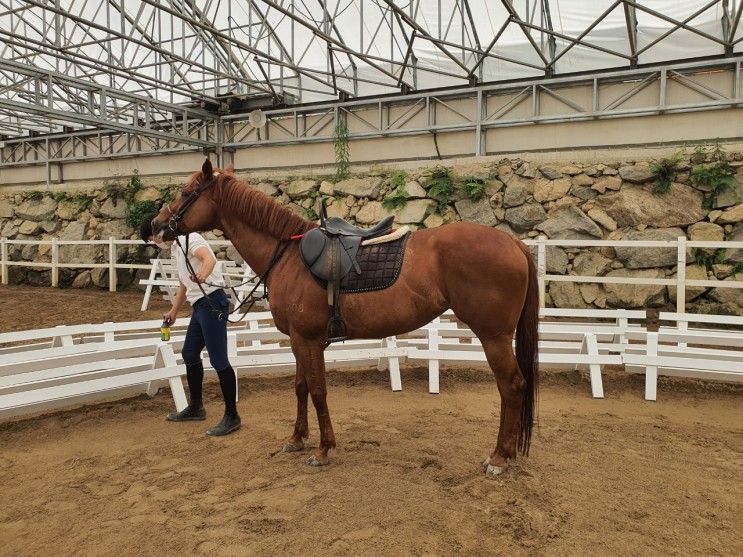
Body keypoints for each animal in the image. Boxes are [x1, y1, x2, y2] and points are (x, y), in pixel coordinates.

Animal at [151, 159, 536, 476]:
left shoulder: (308, 340)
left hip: (493, 337)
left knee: (512, 386)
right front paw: (297, 439)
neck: (289, 255)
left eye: (185, 192)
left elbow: (319, 390)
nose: (155, 225)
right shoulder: (298, 341)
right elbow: (301, 387)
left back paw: (499, 457)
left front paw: (323, 449)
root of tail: (514, 243)